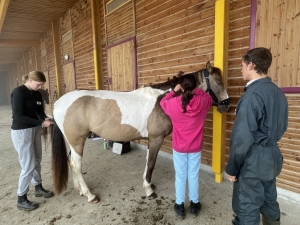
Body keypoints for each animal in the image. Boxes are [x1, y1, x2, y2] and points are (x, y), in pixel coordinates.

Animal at [51, 60, 230, 203]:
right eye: (219, 82)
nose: (227, 104)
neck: (162, 101)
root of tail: (58, 103)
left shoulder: (151, 139)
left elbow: (147, 161)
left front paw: (148, 183)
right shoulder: (156, 138)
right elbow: (151, 163)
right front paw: (149, 190)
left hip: (73, 142)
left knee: (71, 161)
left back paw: (80, 190)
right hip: (77, 141)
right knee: (76, 164)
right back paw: (90, 195)